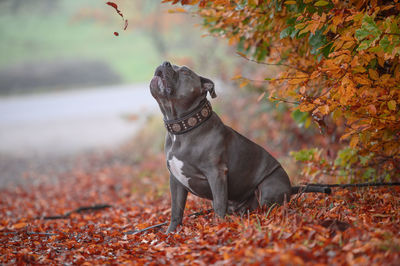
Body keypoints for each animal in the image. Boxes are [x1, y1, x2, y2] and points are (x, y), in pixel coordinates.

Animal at [148, 61, 330, 232]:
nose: (165, 63)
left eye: (185, 71)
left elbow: (219, 205)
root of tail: (290, 188)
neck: (182, 130)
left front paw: (217, 229)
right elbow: (176, 210)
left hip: (269, 184)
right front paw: (171, 233)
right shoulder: (175, 180)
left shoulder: (216, 173)